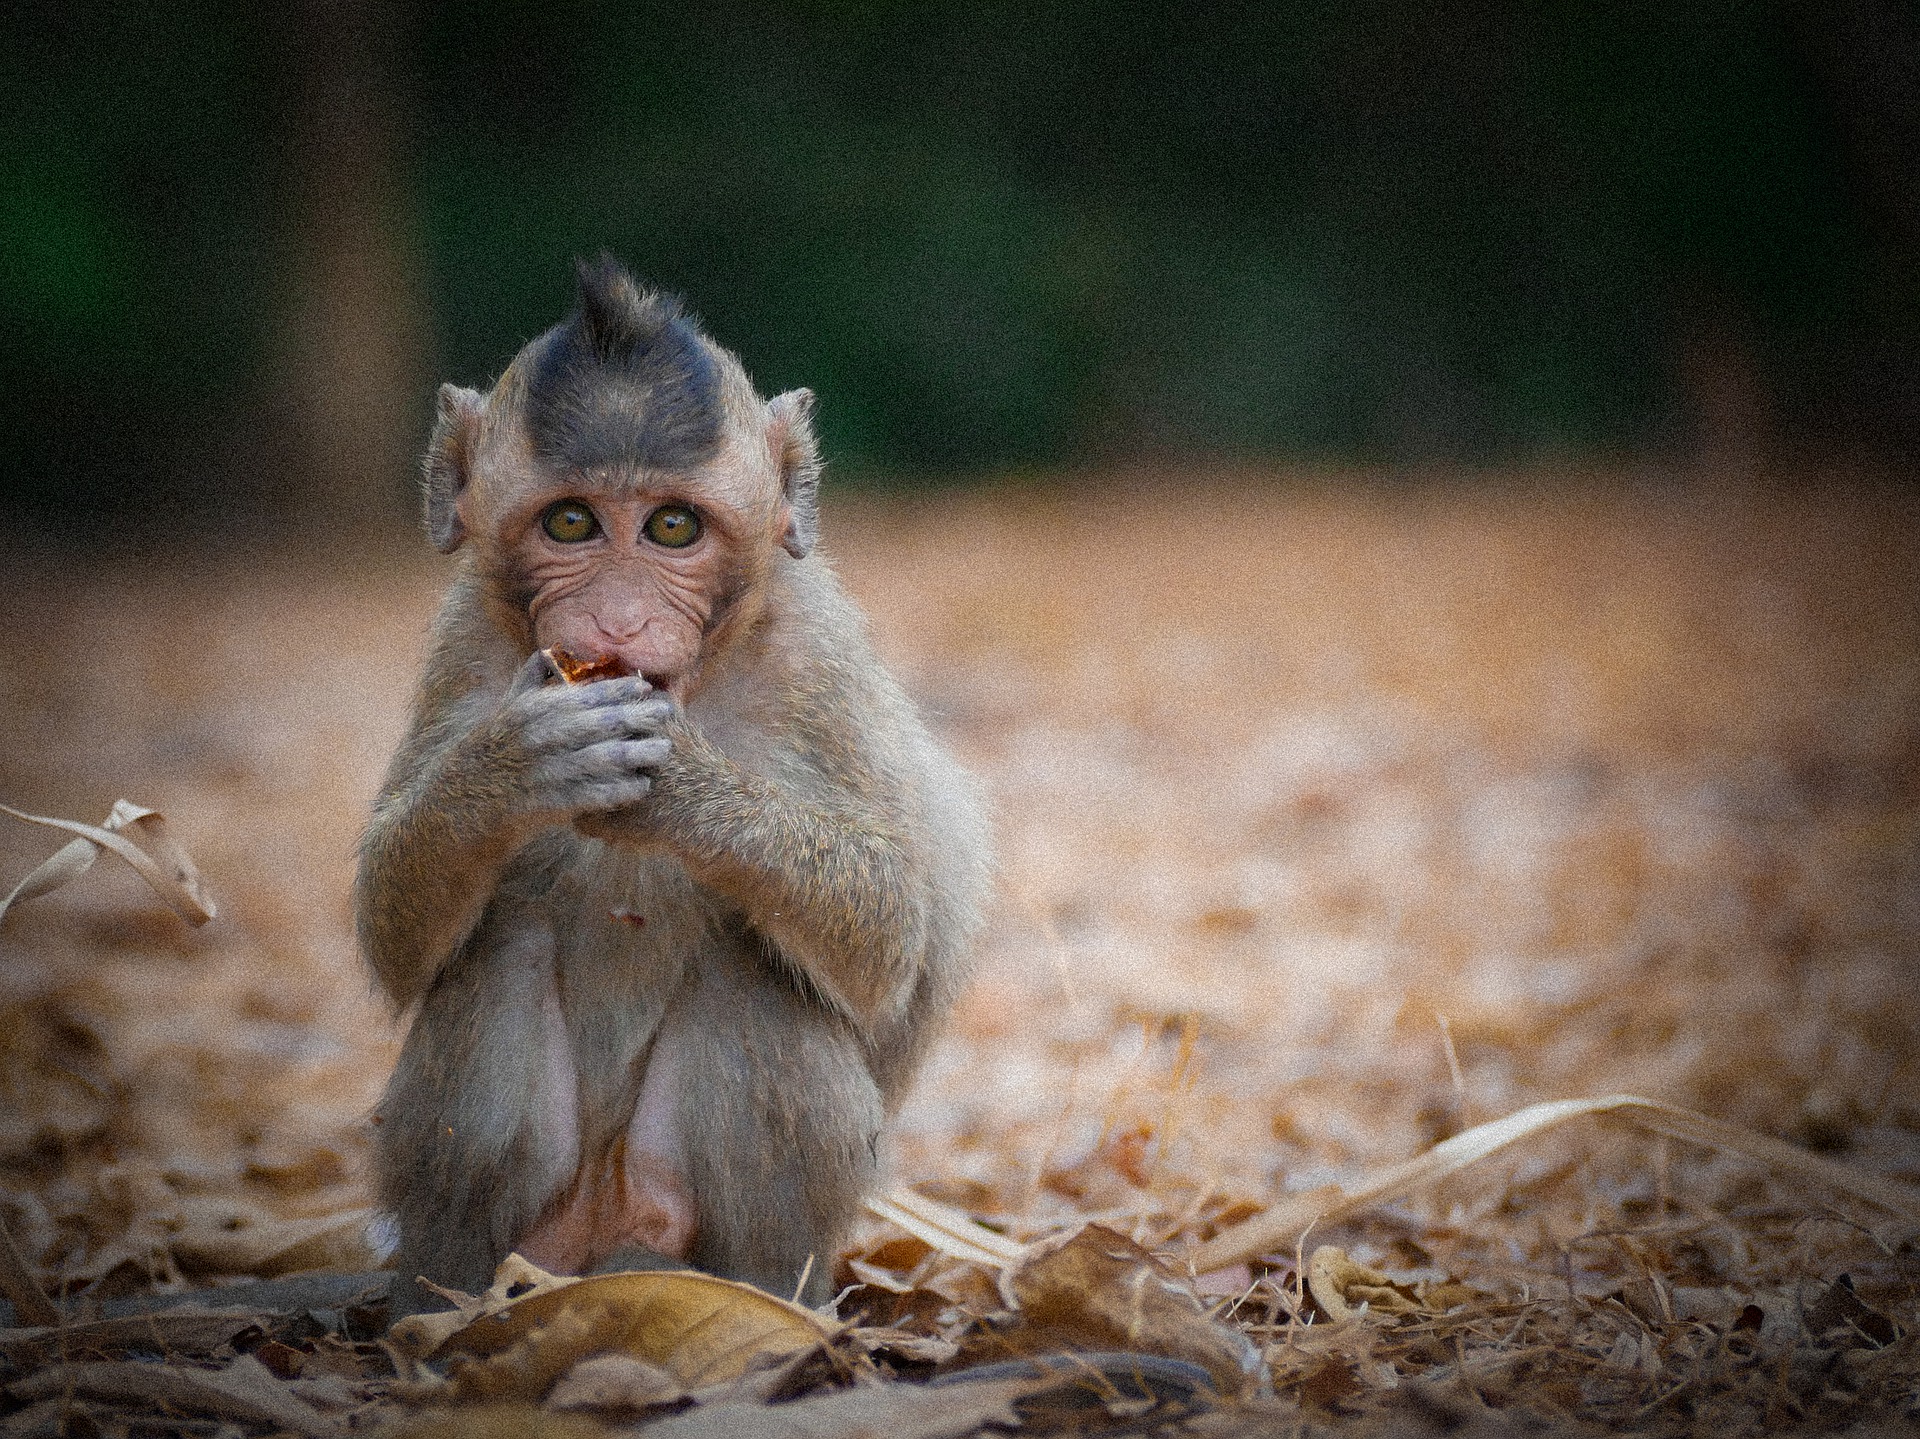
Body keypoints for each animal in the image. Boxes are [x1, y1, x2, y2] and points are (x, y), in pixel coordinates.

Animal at [357, 255, 990, 1298]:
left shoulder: (815, 661)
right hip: (542, 1217)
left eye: (672, 526)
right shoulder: (466, 643)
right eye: (573, 521)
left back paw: (762, 1295)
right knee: (500, 952)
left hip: (680, 1211)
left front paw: (686, 792)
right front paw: (510, 767)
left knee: (755, 981)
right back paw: (451, 1292)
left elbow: (889, 928)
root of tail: (606, 1228)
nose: (616, 621)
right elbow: (395, 934)